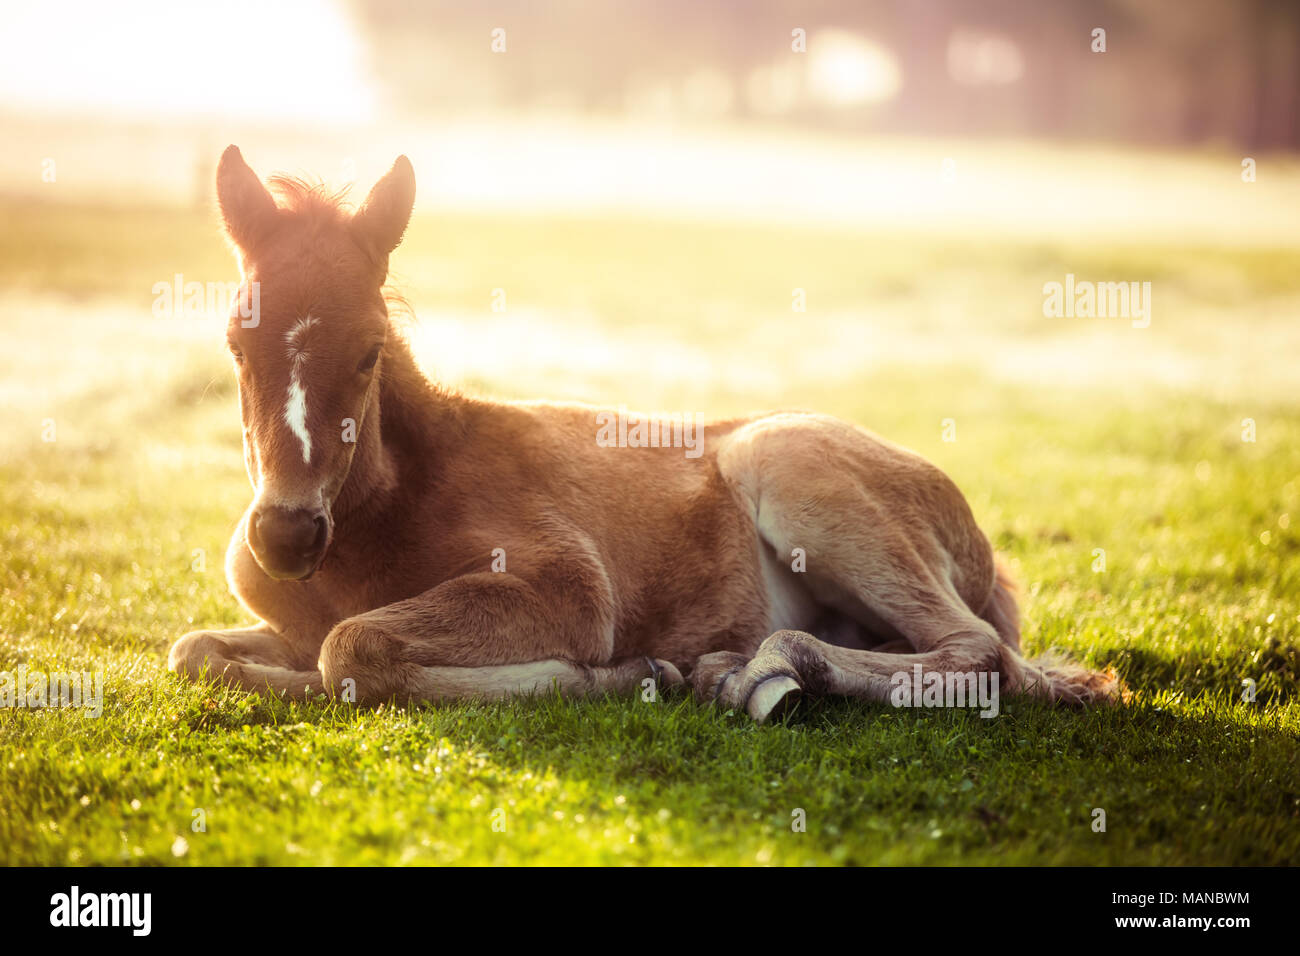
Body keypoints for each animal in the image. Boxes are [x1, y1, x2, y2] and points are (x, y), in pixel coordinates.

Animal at [165, 145, 1118, 723]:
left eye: (367, 352)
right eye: (235, 343)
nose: (287, 535)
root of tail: (982, 547)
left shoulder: (566, 585)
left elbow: (350, 648)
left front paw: (629, 675)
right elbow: (198, 651)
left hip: (789, 463)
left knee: (983, 653)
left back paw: (752, 673)